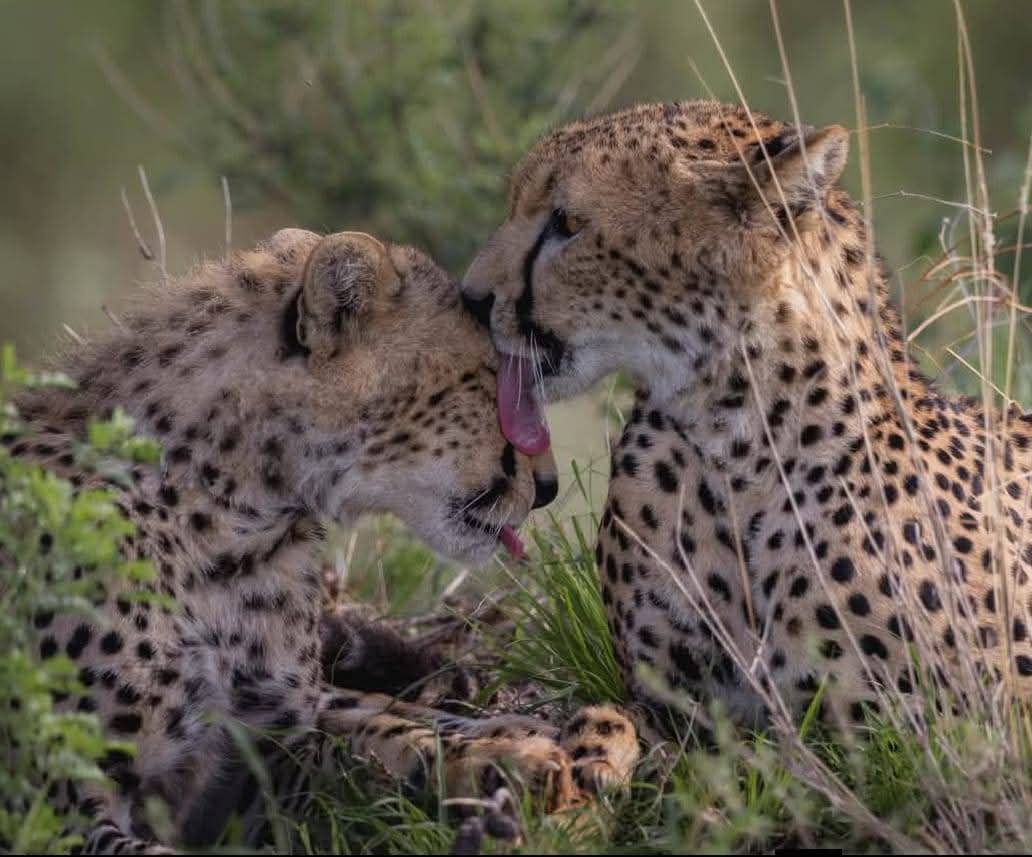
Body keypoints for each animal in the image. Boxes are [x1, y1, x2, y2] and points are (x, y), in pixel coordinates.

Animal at [6, 228, 638, 853]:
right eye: (486, 381)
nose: (549, 487)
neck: (237, 518)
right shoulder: (57, 798)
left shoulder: (266, 760)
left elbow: (377, 741)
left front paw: (515, 757)